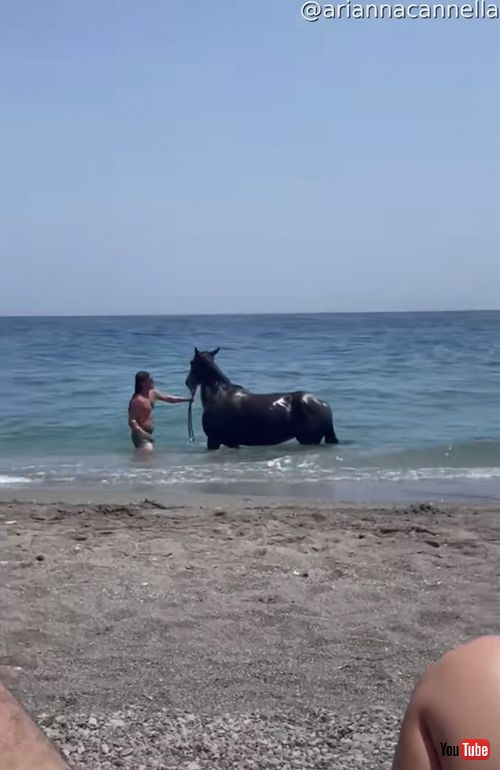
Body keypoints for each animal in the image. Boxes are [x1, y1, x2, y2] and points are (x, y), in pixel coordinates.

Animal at [185, 347, 339, 450]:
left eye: (192, 362)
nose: (187, 382)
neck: (218, 395)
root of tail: (323, 405)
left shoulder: (214, 440)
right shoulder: (231, 443)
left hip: (309, 440)